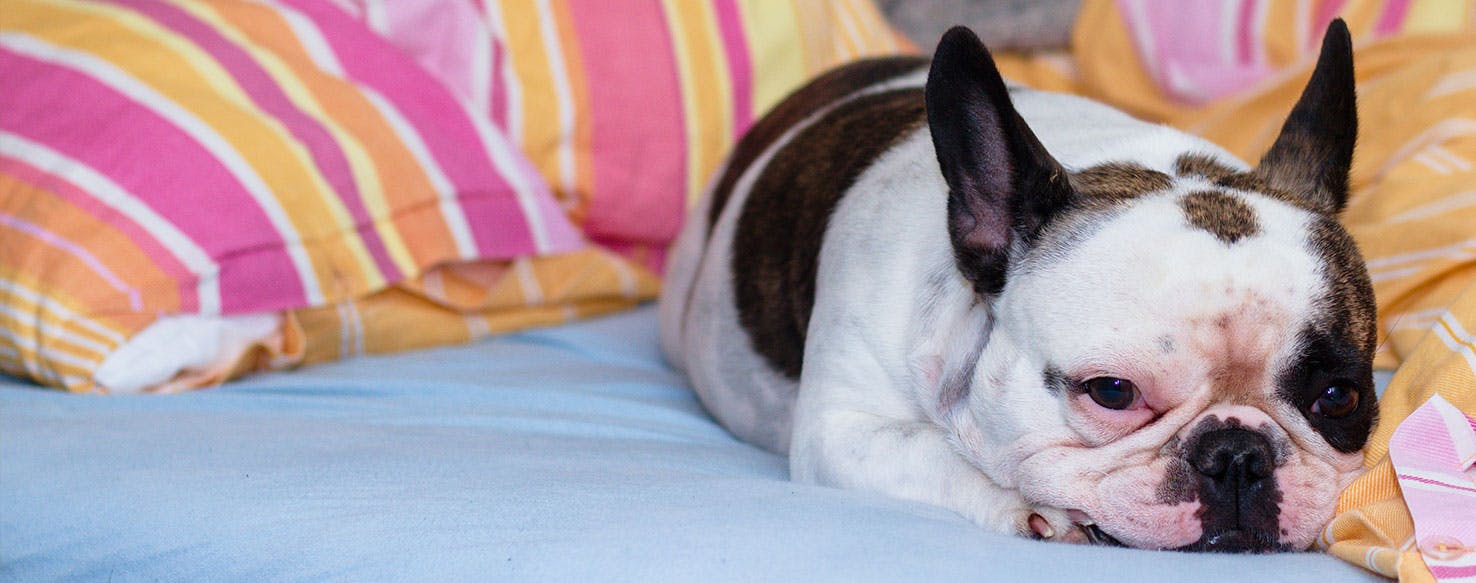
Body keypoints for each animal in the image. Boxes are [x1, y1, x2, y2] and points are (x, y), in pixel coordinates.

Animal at [658, 20, 1369, 554]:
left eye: (1340, 398)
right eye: (1112, 392)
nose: (1238, 454)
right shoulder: (842, 434)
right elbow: (930, 450)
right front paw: (1024, 505)